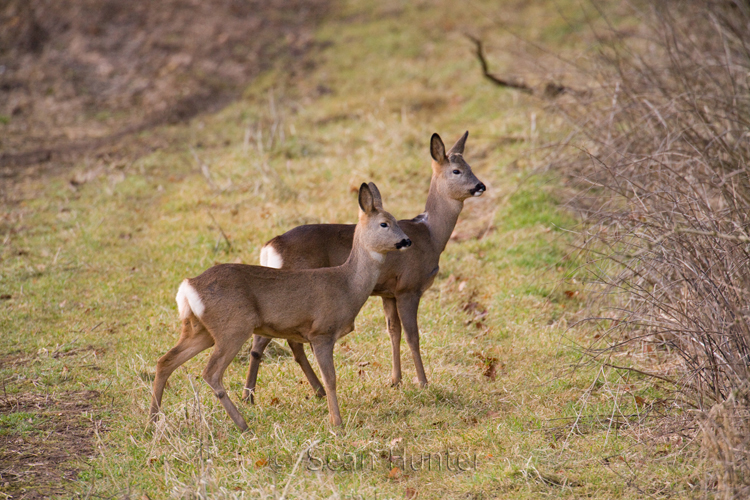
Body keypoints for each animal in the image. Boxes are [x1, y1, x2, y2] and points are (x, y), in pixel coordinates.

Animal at [150, 184, 414, 430]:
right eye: (384, 224)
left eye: (395, 221)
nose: (407, 241)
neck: (347, 285)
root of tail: (188, 286)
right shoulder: (322, 332)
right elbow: (331, 379)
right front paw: (336, 422)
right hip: (233, 328)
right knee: (210, 372)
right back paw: (242, 424)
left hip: (200, 330)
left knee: (165, 361)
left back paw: (152, 421)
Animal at [244, 130, 484, 402]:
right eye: (456, 170)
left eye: (470, 166)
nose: (481, 186)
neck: (430, 235)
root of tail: (270, 246)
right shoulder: (408, 287)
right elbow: (412, 335)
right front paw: (423, 382)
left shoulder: (388, 292)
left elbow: (393, 331)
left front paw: (395, 380)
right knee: (263, 342)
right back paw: (250, 396)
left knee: (287, 342)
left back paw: (316, 390)